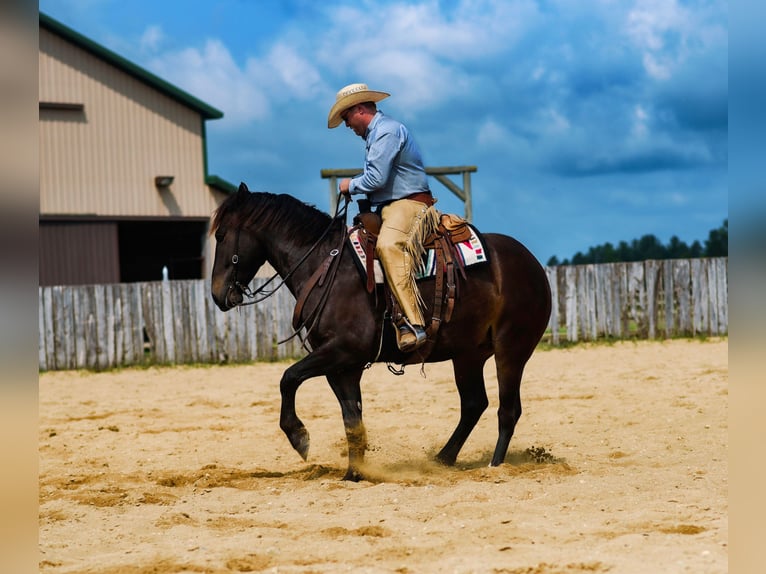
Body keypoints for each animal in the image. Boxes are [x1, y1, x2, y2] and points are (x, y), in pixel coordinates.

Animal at [210, 184, 552, 482]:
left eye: (222, 235)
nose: (217, 294)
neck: (326, 267)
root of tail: (533, 264)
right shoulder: (343, 366)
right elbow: (352, 418)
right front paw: (354, 474)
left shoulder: (342, 351)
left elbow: (288, 378)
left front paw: (299, 436)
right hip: (468, 355)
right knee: (473, 404)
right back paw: (442, 459)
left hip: (511, 350)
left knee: (508, 409)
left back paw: (495, 465)